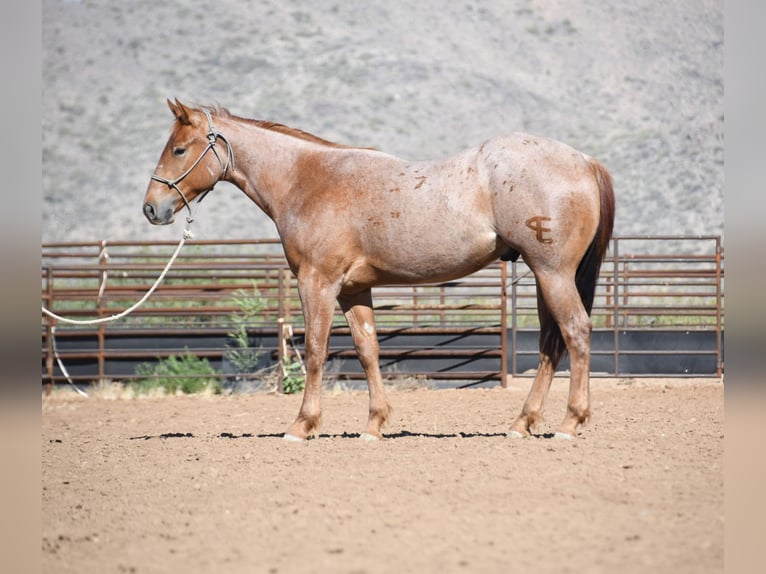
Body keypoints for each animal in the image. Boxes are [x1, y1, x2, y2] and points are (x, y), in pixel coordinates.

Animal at [143, 99, 615, 441]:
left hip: (553, 274)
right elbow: (367, 350)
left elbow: (315, 350)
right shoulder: (354, 290)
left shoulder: (317, 283)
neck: (309, 181)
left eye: (179, 149)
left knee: (575, 332)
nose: (152, 208)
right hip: (545, 277)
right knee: (551, 343)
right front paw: (374, 424)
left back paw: (570, 422)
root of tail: (584, 160)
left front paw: (302, 425)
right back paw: (522, 423)